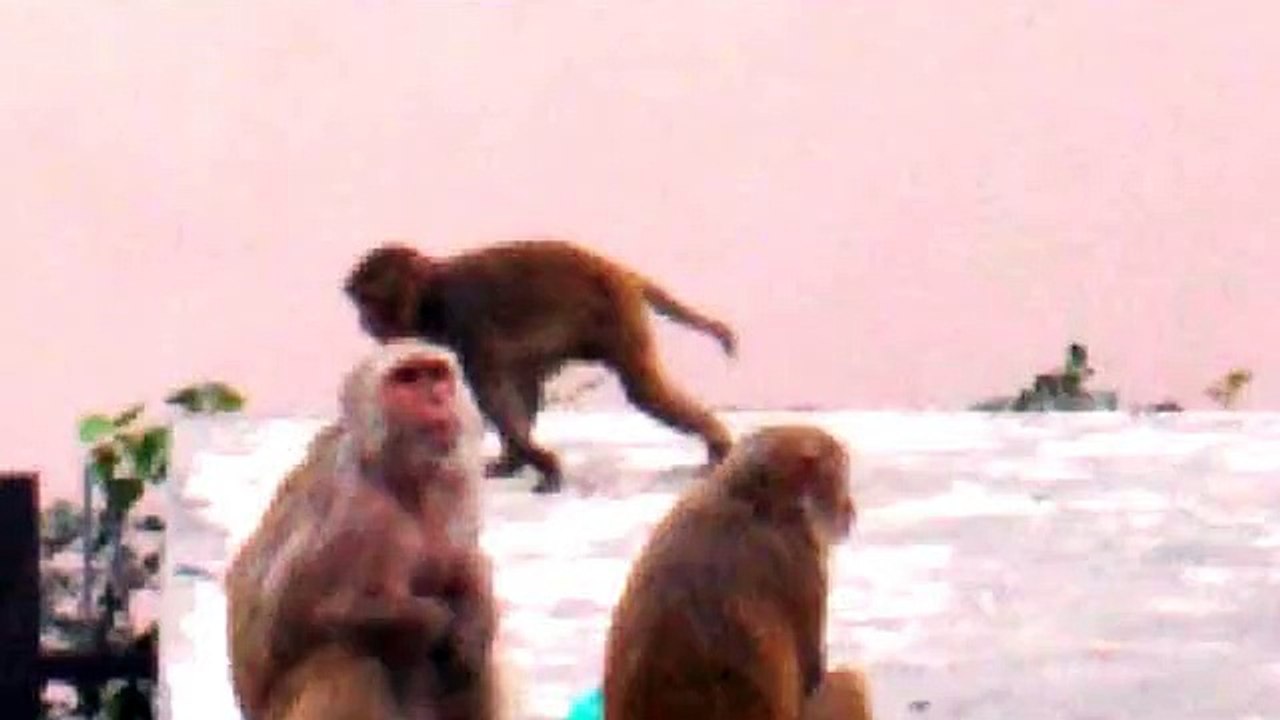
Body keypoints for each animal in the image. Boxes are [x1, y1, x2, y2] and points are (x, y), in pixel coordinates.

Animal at [224, 339, 506, 720]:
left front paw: (473, 620)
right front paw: (434, 621)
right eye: (408, 379)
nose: (436, 398)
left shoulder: (454, 480)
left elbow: (466, 567)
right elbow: (319, 615)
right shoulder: (361, 511)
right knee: (350, 657)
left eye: (436, 375)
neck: (399, 473)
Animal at [343, 237, 738, 494]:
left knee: (644, 390)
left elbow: (496, 397)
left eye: (368, 301)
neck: (431, 296)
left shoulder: (467, 324)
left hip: (617, 312)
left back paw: (719, 444)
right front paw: (514, 461)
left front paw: (541, 463)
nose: (363, 321)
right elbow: (523, 387)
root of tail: (622, 273)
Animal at [602, 425, 873, 720]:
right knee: (852, 682)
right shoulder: (800, 552)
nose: (851, 510)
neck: (754, 499)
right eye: (840, 477)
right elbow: (814, 676)